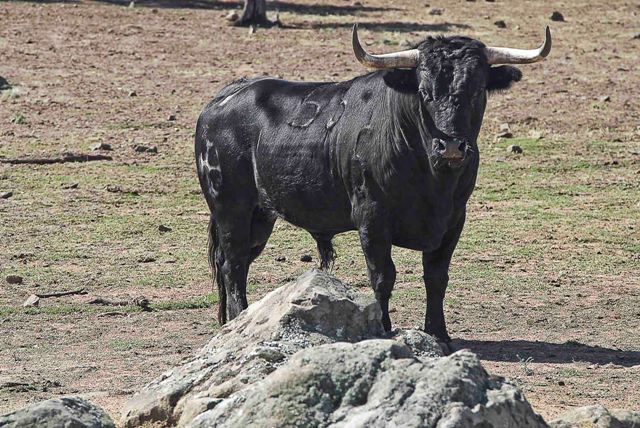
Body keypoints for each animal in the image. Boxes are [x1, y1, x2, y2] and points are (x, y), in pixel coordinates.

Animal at [195, 26, 552, 342]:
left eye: (477, 91)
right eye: (424, 93)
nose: (450, 146)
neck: (432, 180)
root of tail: (222, 99)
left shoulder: (454, 220)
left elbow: (437, 277)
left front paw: (439, 333)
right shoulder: (372, 218)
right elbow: (383, 276)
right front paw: (382, 327)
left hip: (260, 216)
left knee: (237, 263)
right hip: (231, 209)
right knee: (233, 265)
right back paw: (238, 318)